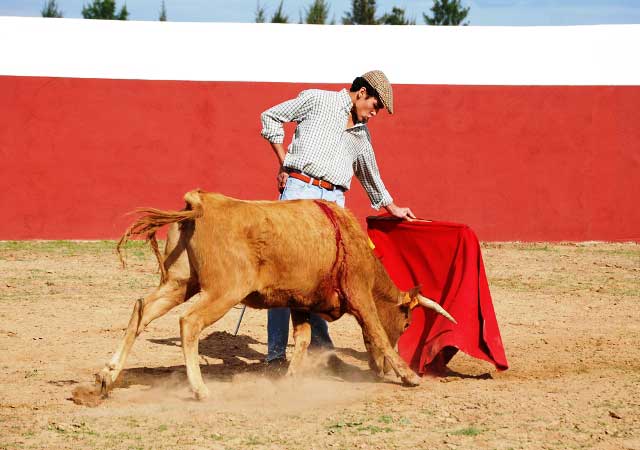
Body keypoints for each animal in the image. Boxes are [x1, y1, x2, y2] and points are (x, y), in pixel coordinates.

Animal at [97, 189, 452, 398]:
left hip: (180, 283)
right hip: (223, 291)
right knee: (189, 322)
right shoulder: (359, 295)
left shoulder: (300, 301)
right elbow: (376, 331)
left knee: (142, 308)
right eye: (407, 323)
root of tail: (201, 201)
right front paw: (409, 376)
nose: (379, 370)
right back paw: (199, 389)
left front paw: (290, 378)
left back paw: (107, 376)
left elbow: (305, 338)